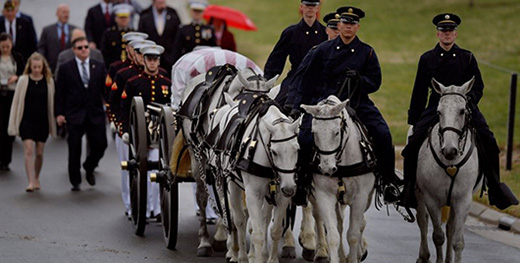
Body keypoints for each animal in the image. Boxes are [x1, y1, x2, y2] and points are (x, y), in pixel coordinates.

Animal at [208, 93, 298, 263]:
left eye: (297, 149)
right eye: (274, 152)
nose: (290, 189)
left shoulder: (280, 196)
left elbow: (275, 230)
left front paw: (270, 259)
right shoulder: (253, 194)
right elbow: (257, 234)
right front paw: (254, 256)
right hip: (230, 185)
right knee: (237, 220)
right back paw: (239, 255)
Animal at [298, 96, 376, 263]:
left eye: (336, 132)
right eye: (314, 133)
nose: (326, 168)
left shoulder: (360, 198)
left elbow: (353, 235)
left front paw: (353, 258)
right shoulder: (324, 196)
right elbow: (333, 235)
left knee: (360, 224)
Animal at [414, 78, 480, 263]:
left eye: (462, 111)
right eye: (439, 112)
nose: (449, 150)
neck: (451, 162)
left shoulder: (463, 200)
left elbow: (457, 241)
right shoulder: (431, 199)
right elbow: (438, 236)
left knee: (450, 227)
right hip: (419, 194)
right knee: (422, 220)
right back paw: (423, 255)